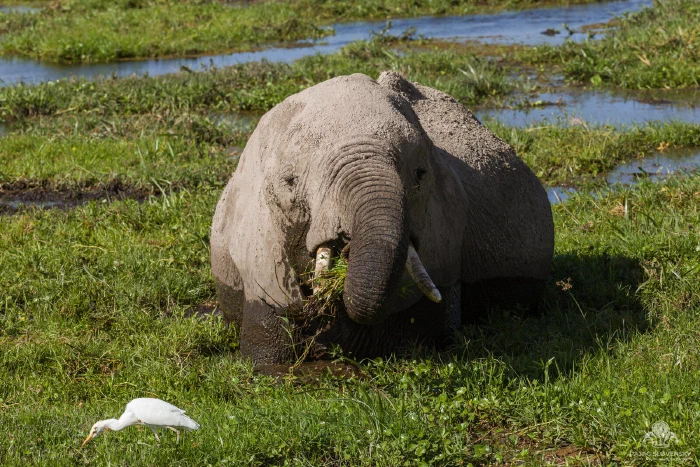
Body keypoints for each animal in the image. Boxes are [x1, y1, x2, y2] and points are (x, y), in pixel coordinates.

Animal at [211, 71, 554, 365]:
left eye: (420, 175)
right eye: (289, 182)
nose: (347, 244)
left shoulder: (444, 231)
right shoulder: (260, 252)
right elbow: (270, 352)